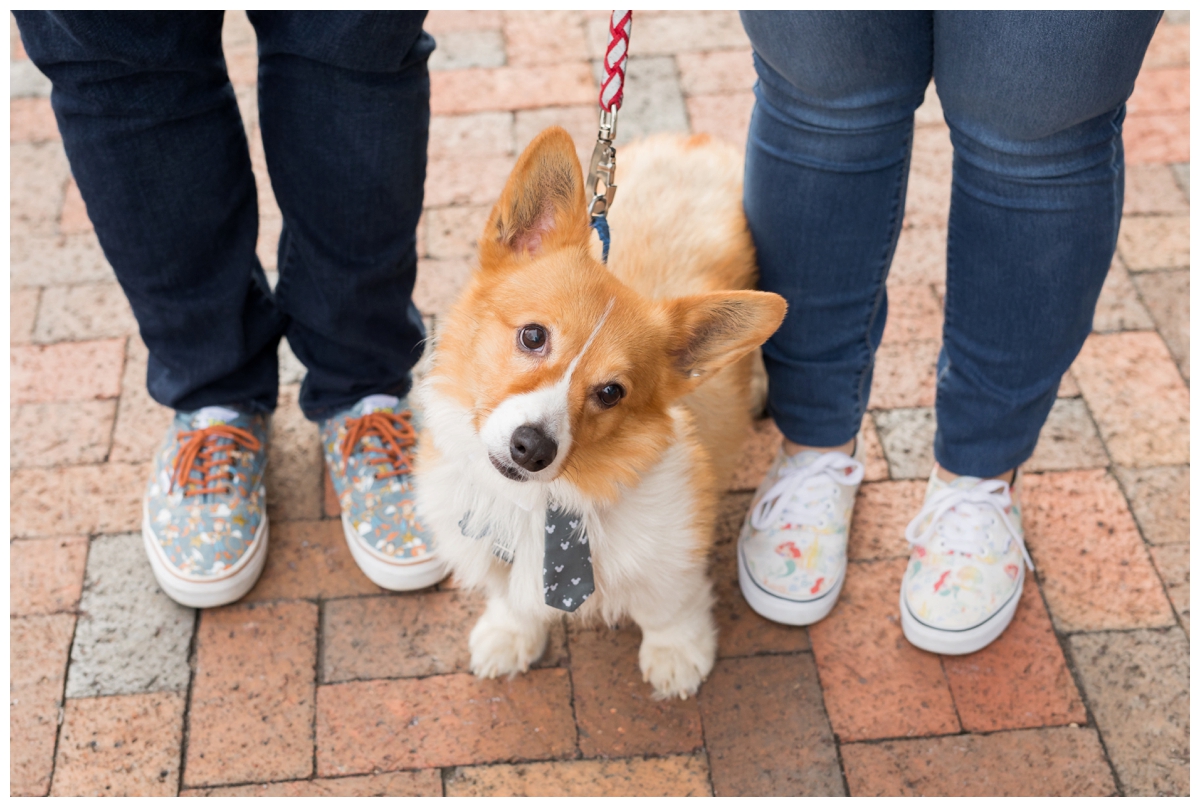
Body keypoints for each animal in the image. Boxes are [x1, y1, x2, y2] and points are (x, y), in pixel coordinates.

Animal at [412, 126, 787, 701]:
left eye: (611, 392)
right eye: (533, 335)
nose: (532, 448)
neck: (547, 502)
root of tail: (693, 141)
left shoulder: (674, 549)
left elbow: (670, 605)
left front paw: (676, 656)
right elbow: (512, 599)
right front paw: (509, 635)